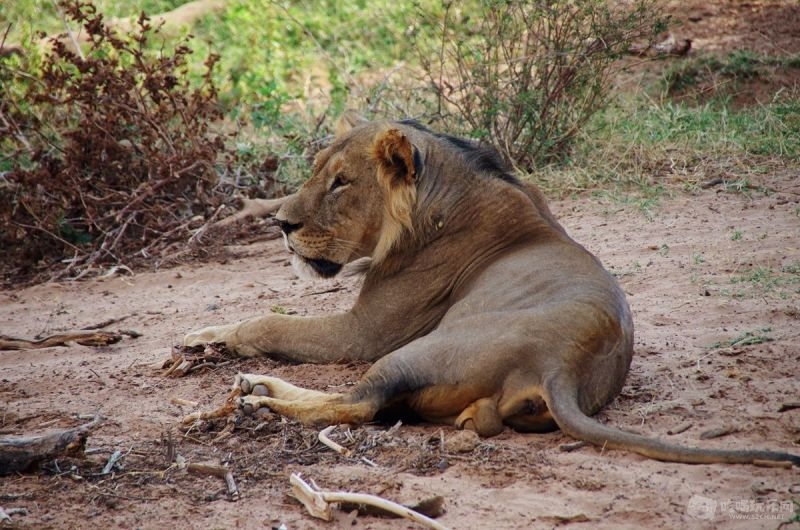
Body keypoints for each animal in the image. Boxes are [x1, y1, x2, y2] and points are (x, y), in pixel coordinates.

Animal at [184, 113, 796, 464]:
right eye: (317, 172)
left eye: (341, 182)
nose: (280, 224)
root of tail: (561, 366)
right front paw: (201, 335)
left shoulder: (364, 334)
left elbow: (270, 322)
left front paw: (211, 338)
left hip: (415, 350)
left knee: (355, 403)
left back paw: (256, 397)